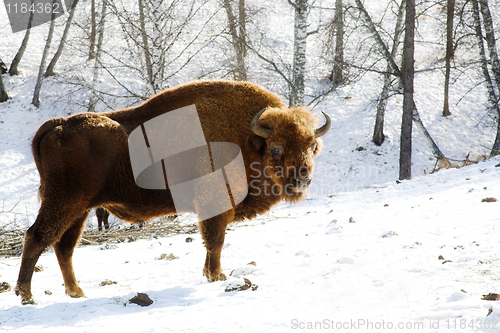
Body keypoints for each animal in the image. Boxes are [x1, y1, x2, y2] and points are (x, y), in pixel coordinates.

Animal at [14, 80, 328, 304]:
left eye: (312, 146)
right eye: (276, 148)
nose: (303, 179)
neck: (247, 139)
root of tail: (58, 125)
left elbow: (211, 243)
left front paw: (210, 274)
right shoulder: (216, 207)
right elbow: (216, 241)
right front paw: (217, 276)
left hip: (80, 209)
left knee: (64, 246)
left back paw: (76, 292)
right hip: (64, 202)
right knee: (38, 237)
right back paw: (26, 296)